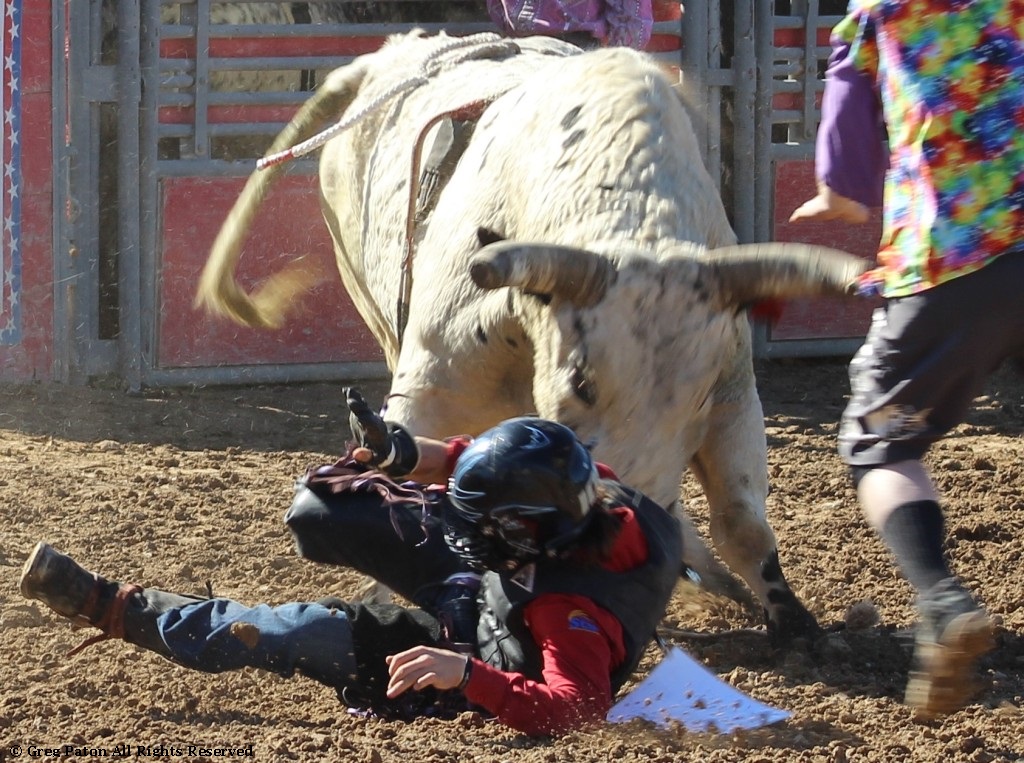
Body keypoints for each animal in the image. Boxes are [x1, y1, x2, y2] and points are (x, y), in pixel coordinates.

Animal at [194, 31, 867, 642]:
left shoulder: (732, 390)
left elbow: (742, 520)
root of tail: (393, 52)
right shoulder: (432, 382)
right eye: (582, 383)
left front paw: (787, 615)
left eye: (696, 399)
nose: (635, 525)